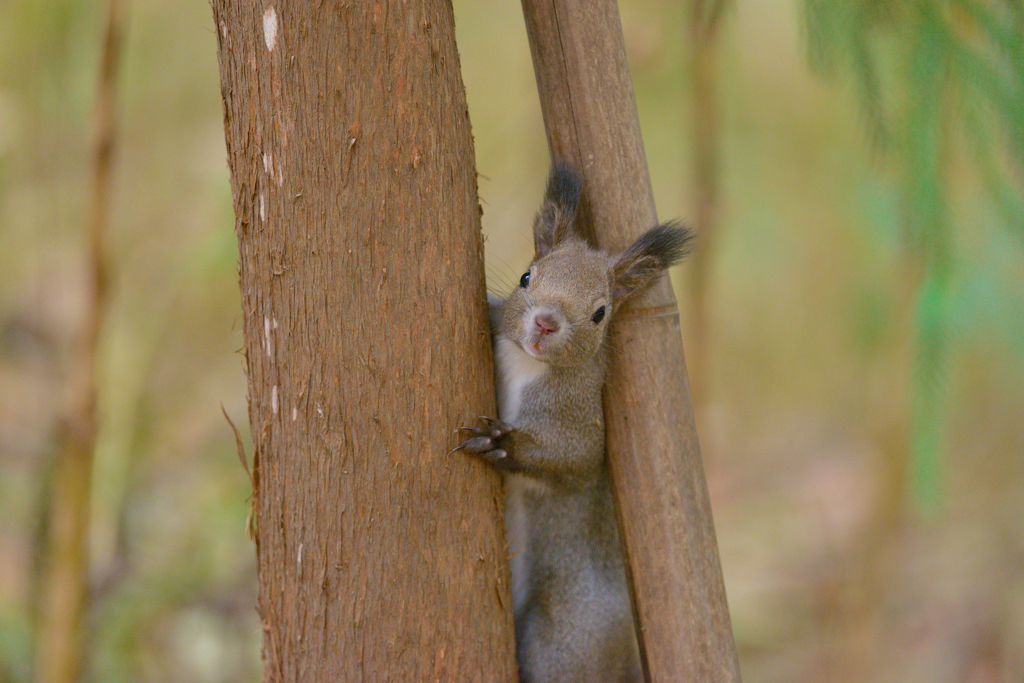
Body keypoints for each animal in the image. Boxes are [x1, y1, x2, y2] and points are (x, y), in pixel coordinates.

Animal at [454, 162, 688, 679]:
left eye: (600, 313)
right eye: (526, 276)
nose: (545, 322)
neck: (529, 364)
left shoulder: (582, 418)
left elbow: (574, 459)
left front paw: (502, 443)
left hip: (566, 640)